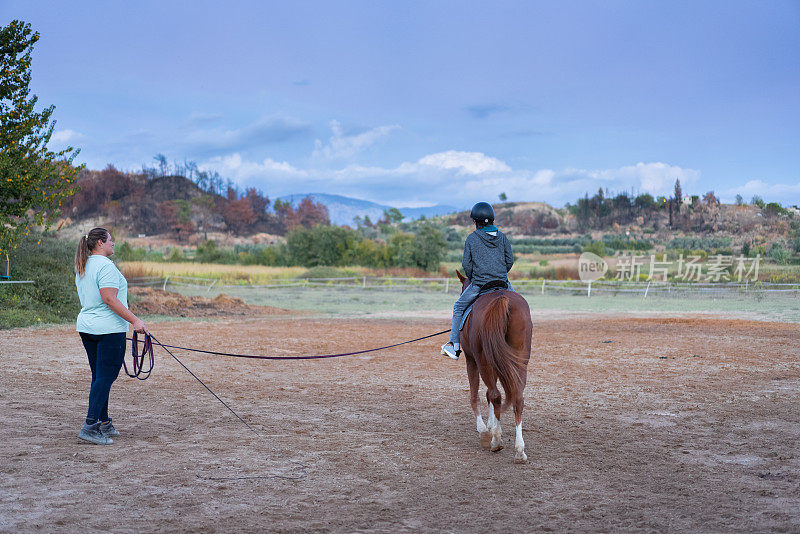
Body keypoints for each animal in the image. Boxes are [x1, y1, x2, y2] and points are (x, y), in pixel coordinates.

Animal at [456, 272, 532, 464]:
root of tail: (502, 299)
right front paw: (492, 425)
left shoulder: (471, 360)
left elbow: (476, 396)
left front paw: (484, 429)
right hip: (519, 360)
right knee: (517, 398)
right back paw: (519, 451)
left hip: (482, 360)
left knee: (495, 395)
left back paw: (496, 441)